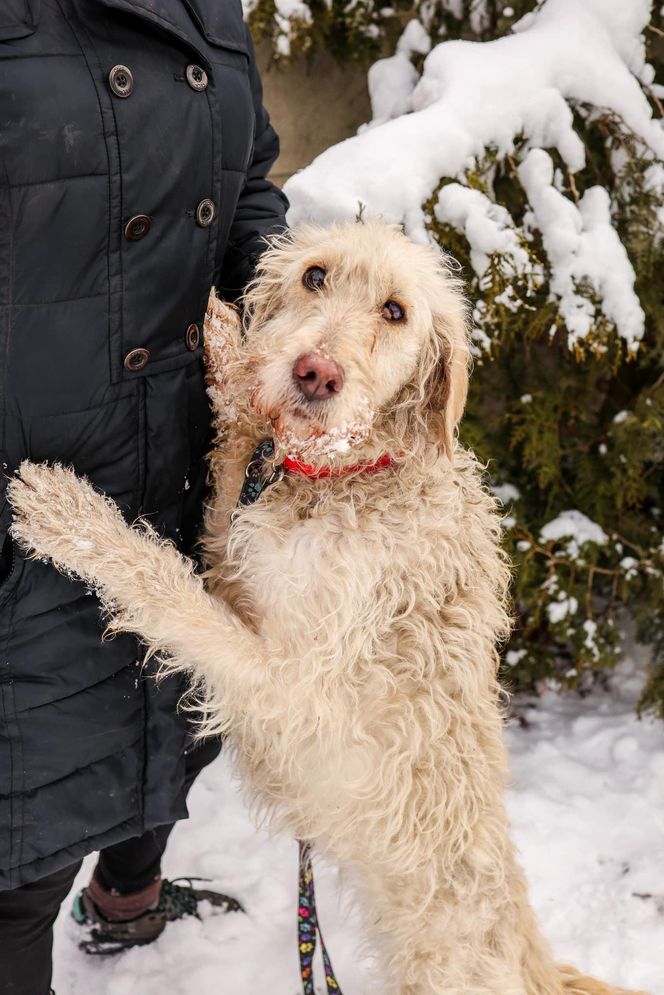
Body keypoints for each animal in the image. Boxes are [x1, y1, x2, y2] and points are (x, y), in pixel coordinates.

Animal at [7, 224, 644, 995]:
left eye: (396, 311)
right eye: (315, 275)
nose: (314, 373)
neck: (348, 475)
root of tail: (534, 962)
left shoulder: (284, 686)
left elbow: (167, 585)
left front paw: (66, 515)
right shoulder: (234, 544)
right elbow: (232, 452)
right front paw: (221, 334)